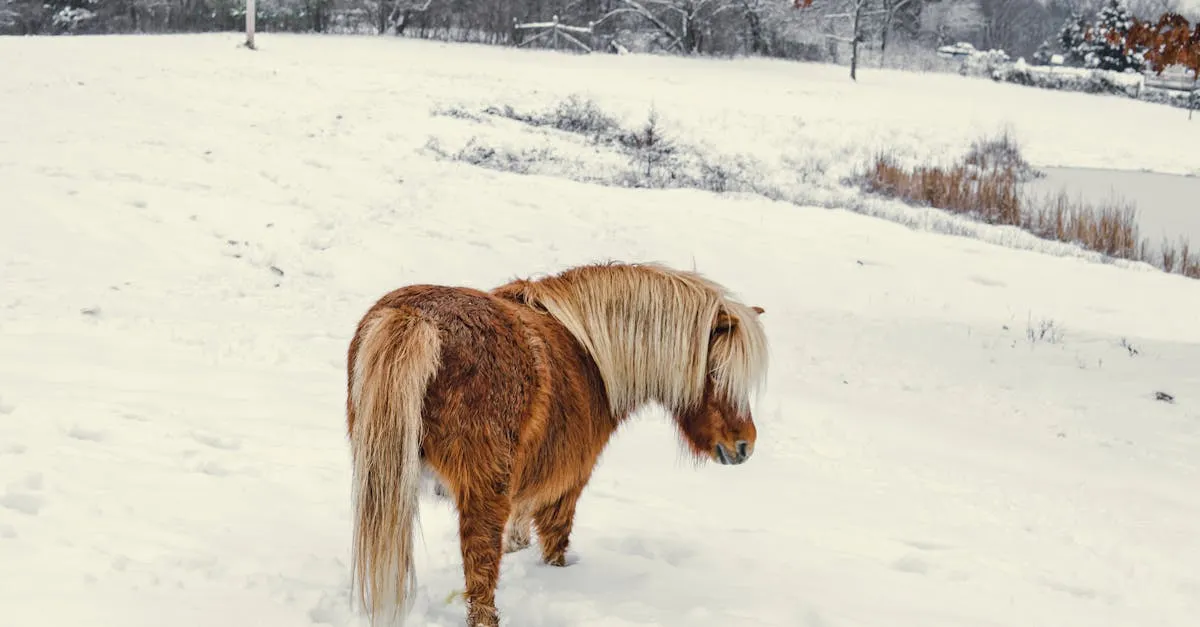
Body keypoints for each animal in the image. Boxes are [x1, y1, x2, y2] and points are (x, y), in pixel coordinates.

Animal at [345, 259, 768, 624]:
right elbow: (555, 544)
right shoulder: (566, 484)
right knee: (481, 572)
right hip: (482, 491)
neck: (590, 357)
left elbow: (517, 535)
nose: (744, 446)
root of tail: (415, 318)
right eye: (716, 371)